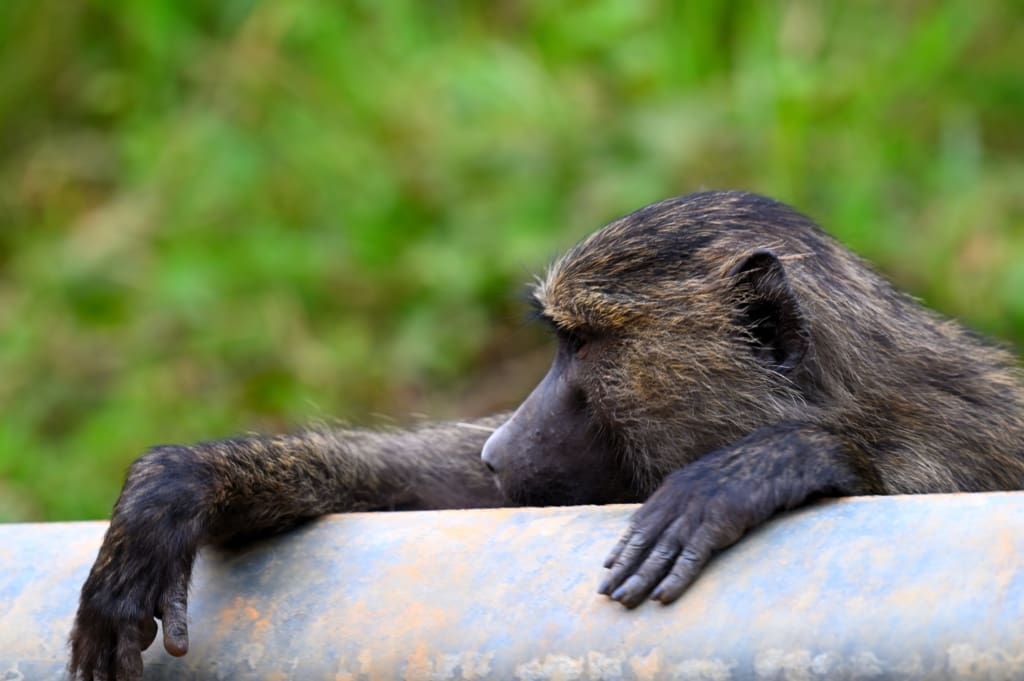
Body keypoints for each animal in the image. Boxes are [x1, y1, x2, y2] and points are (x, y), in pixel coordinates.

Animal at [69, 190, 1024, 681]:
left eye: (584, 345)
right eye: (557, 341)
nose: (503, 451)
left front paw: (780, 460)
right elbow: (437, 485)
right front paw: (172, 489)